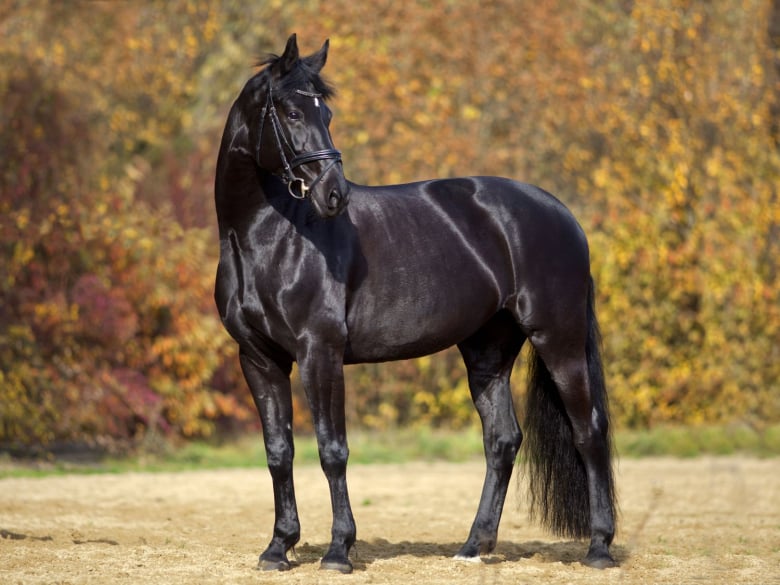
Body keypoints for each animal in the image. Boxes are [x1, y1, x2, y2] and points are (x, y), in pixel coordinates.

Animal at [214, 34, 616, 573]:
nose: (334, 194)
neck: (268, 236)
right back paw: (473, 546)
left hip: (559, 338)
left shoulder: (320, 352)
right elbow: (279, 452)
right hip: (488, 351)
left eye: (327, 113)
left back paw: (599, 547)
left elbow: (332, 450)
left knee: (587, 430)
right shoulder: (259, 358)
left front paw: (339, 551)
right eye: (292, 112)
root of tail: (563, 214)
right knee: (502, 440)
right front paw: (278, 548)